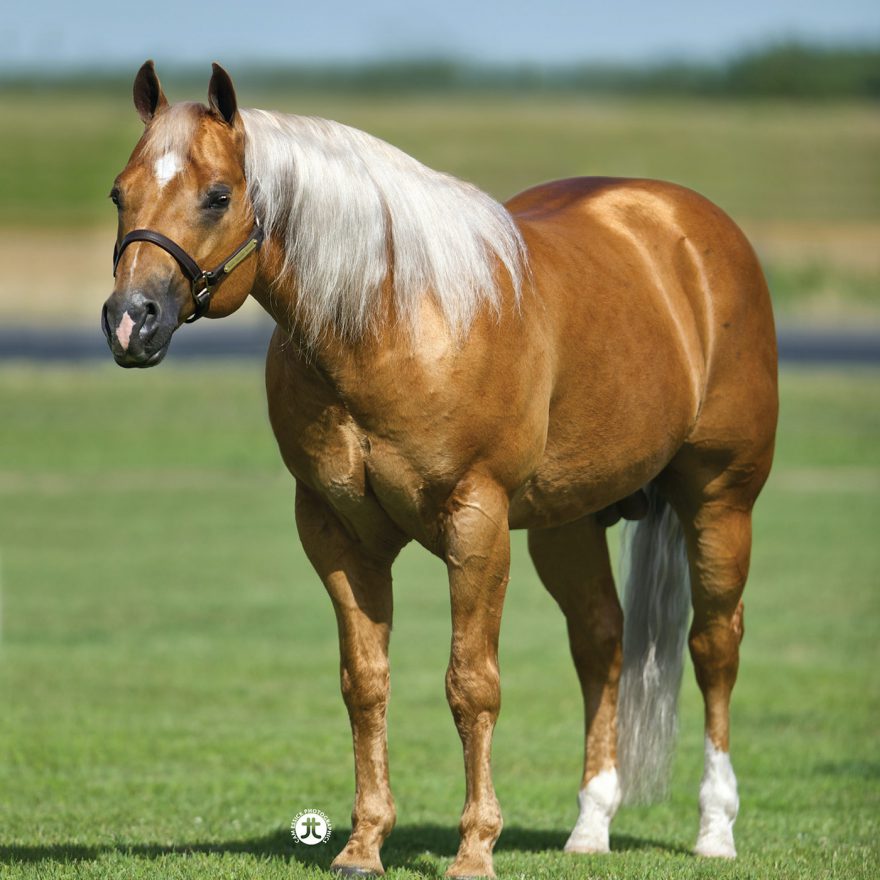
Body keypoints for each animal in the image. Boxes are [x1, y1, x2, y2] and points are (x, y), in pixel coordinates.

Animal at [101, 60, 776, 872]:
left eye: (218, 195)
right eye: (119, 193)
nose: (131, 320)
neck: (393, 318)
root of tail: (688, 228)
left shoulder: (476, 522)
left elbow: (471, 684)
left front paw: (475, 850)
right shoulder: (336, 533)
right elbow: (364, 683)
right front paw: (363, 844)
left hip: (720, 503)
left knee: (715, 646)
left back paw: (715, 829)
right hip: (569, 523)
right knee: (601, 644)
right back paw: (590, 827)